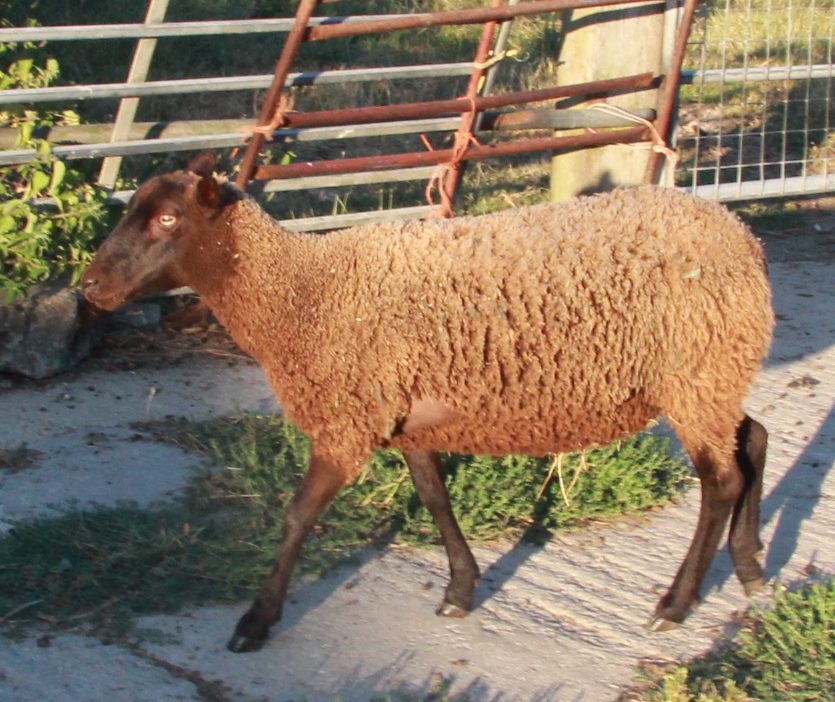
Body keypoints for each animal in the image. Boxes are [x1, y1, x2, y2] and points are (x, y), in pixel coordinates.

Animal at [81, 154, 772, 656]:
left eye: (168, 220)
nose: (89, 287)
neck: (303, 292)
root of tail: (741, 236)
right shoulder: (405, 416)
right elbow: (435, 497)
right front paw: (461, 590)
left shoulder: (348, 422)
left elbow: (298, 516)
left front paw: (256, 621)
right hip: (714, 377)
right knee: (753, 441)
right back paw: (749, 568)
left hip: (697, 374)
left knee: (721, 480)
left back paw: (675, 605)